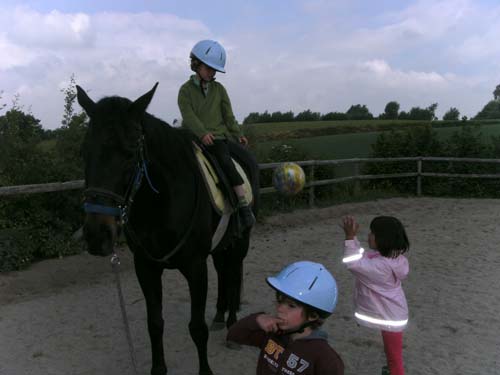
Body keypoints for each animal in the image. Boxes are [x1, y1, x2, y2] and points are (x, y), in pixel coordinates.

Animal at [76, 83, 260, 375]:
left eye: (130, 153)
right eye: (84, 152)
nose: (97, 235)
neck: (162, 203)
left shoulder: (195, 267)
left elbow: (197, 328)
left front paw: (205, 370)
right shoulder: (146, 268)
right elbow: (154, 324)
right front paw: (158, 369)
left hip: (241, 241)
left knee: (233, 272)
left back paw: (232, 323)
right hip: (221, 244)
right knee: (223, 270)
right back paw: (220, 315)